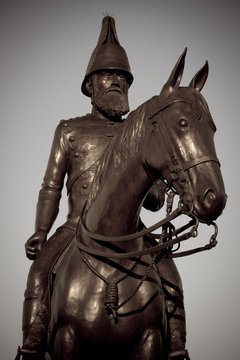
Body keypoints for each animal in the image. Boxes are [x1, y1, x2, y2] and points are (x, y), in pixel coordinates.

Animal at [46, 48, 226, 360]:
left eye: (212, 129)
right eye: (182, 123)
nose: (214, 196)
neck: (111, 264)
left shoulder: (148, 341)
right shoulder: (66, 340)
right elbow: (51, 185)